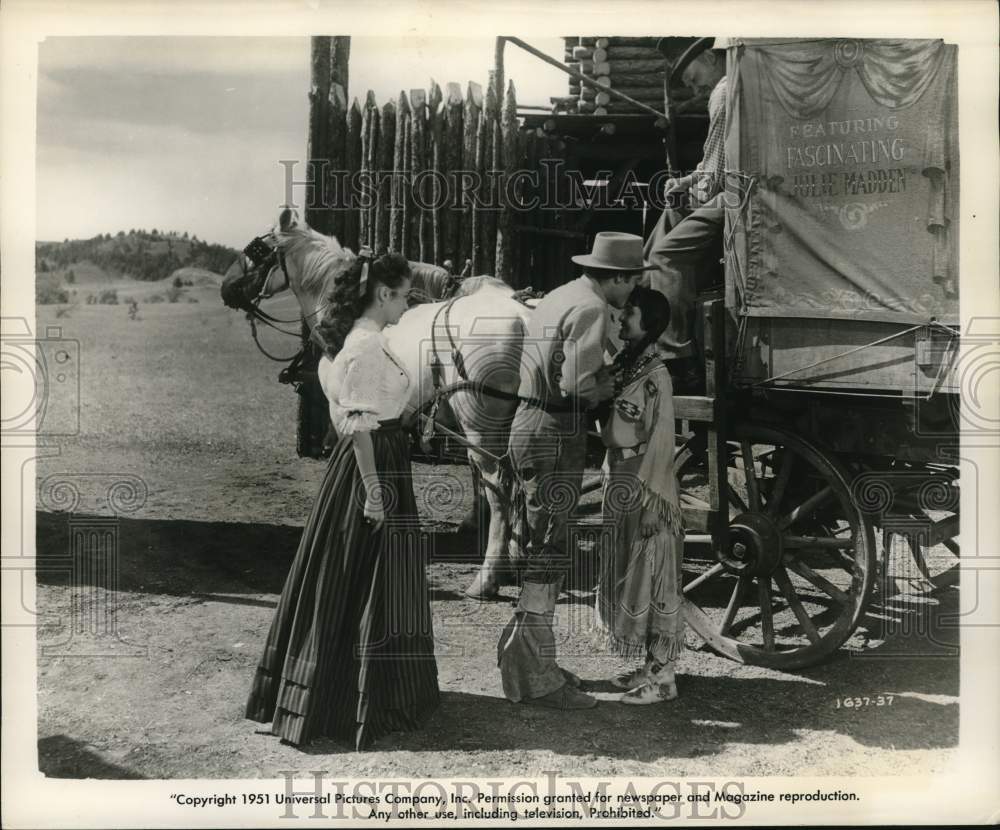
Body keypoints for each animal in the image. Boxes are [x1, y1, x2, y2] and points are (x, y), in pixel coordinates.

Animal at [221, 207, 532, 600]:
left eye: (257, 250)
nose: (225, 287)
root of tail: (521, 317)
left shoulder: (346, 409)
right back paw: (516, 559)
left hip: (479, 422)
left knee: (500, 486)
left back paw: (488, 577)